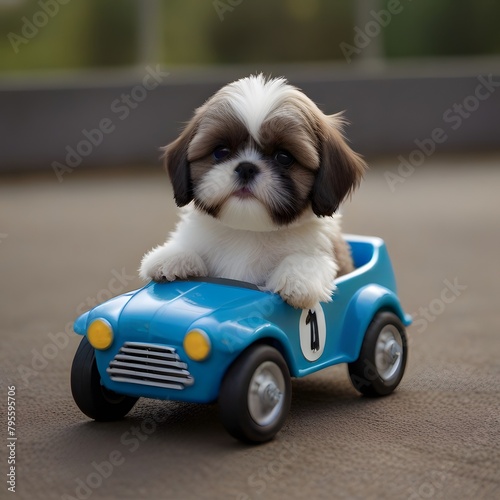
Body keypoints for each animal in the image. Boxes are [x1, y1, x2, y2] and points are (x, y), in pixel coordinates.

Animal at [139, 73, 366, 308]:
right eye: (221, 151)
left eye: (284, 157)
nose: (246, 167)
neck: (248, 232)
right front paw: (174, 256)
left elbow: (312, 262)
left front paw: (297, 277)